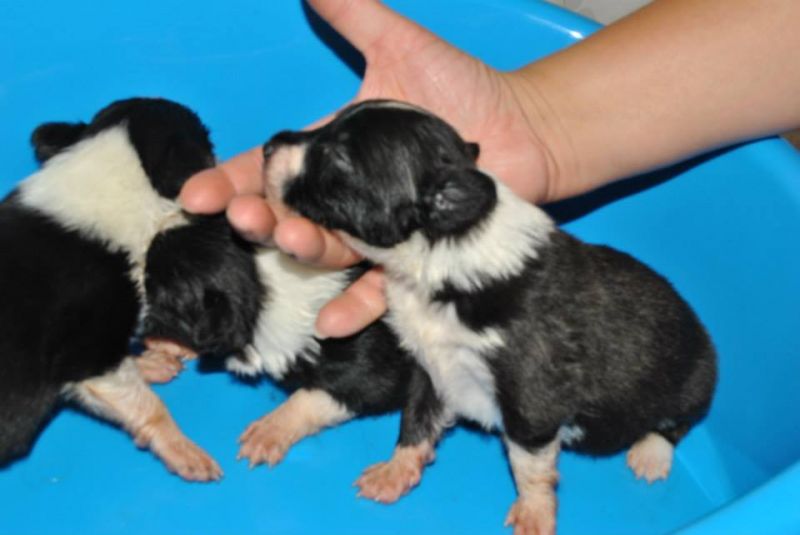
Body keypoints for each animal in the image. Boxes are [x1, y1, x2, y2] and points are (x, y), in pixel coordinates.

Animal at [263, 99, 718, 534]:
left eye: (338, 158)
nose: (268, 145)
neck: (445, 251)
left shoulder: (533, 399)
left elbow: (529, 463)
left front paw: (534, 515)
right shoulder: (431, 369)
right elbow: (416, 419)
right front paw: (395, 473)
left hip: (695, 379)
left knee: (675, 424)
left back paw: (650, 454)